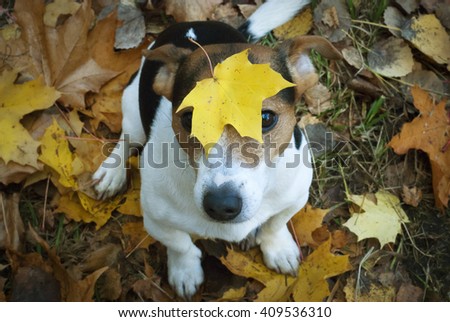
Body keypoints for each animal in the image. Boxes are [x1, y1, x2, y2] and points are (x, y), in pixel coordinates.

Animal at [94, 0, 342, 298]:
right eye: (189, 119)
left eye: (265, 118)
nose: (222, 206)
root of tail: (193, 24)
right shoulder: (155, 219)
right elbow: (180, 243)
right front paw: (185, 270)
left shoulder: (295, 196)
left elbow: (275, 223)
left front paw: (278, 247)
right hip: (131, 104)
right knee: (126, 139)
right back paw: (111, 173)